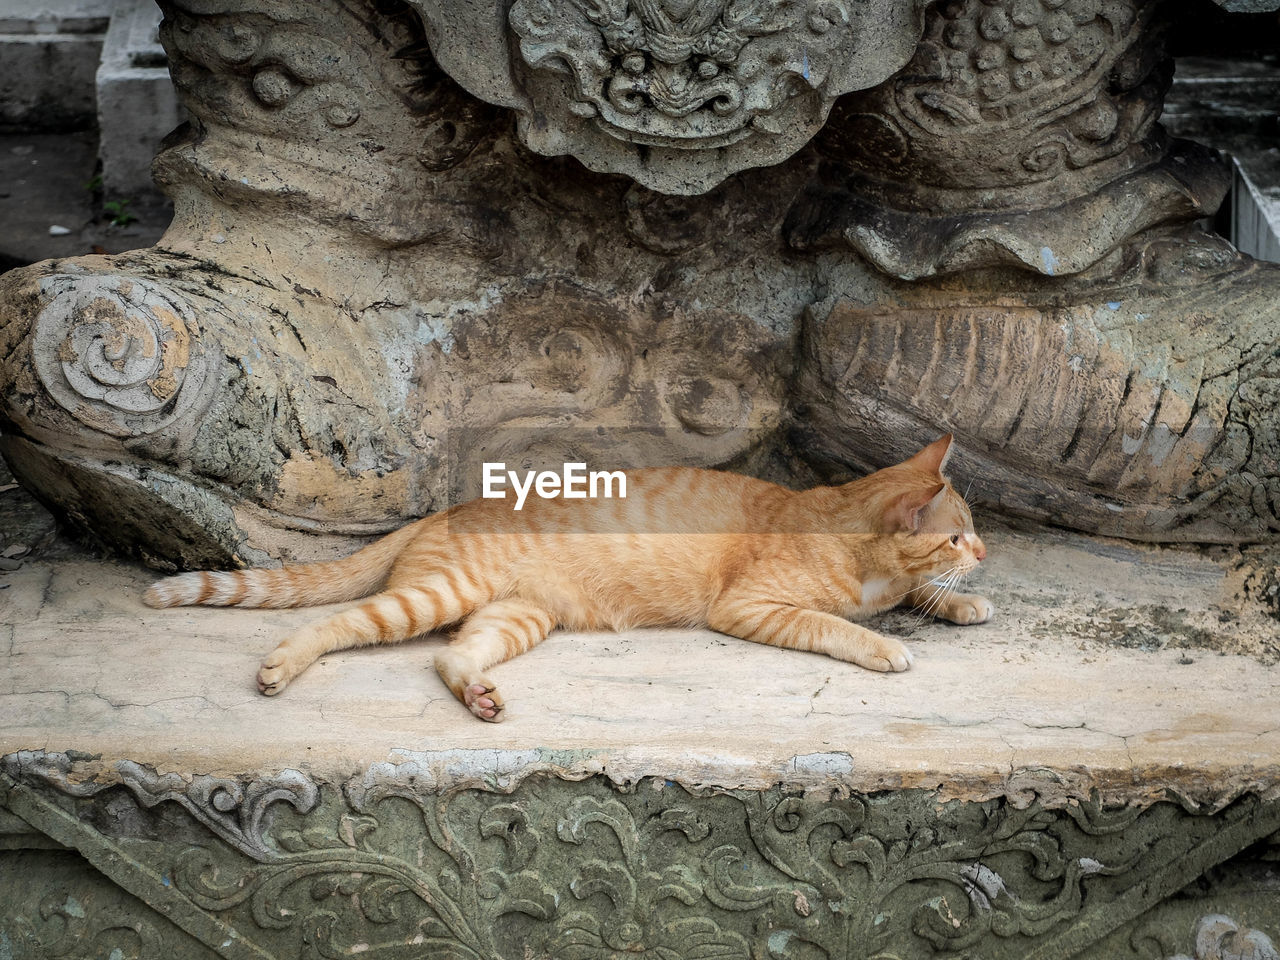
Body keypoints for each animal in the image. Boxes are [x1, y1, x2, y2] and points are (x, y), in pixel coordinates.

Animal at [147, 435, 988, 721]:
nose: (985, 552)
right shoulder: (748, 606)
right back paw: (282, 665)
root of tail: (441, 509)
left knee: (449, 657)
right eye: (956, 533)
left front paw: (964, 604)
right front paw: (887, 644)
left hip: (518, 617)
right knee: (338, 622)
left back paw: (479, 697)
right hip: (438, 595)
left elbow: (920, 593)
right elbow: (834, 623)